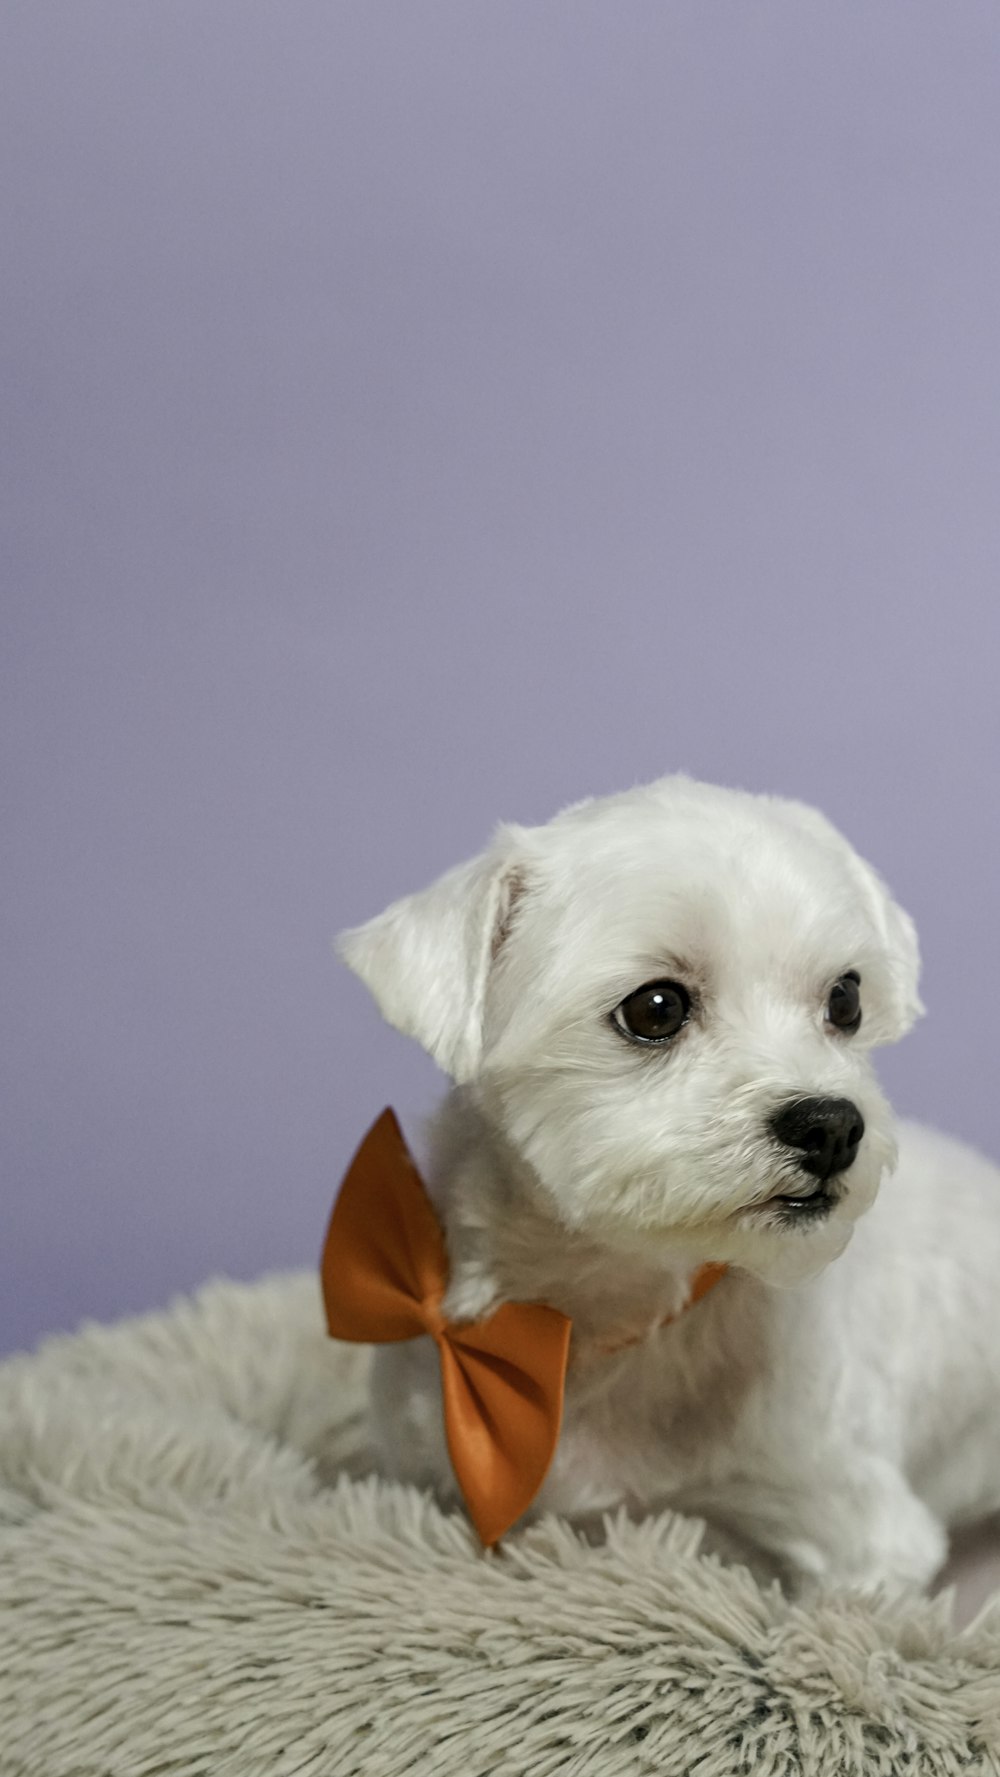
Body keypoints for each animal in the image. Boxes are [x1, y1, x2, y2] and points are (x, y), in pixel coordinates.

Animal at [339, 778, 1000, 1599]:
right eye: (655, 1007)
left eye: (845, 999)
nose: (831, 1126)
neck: (595, 1326)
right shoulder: (421, 1476)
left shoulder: (858, 1539)